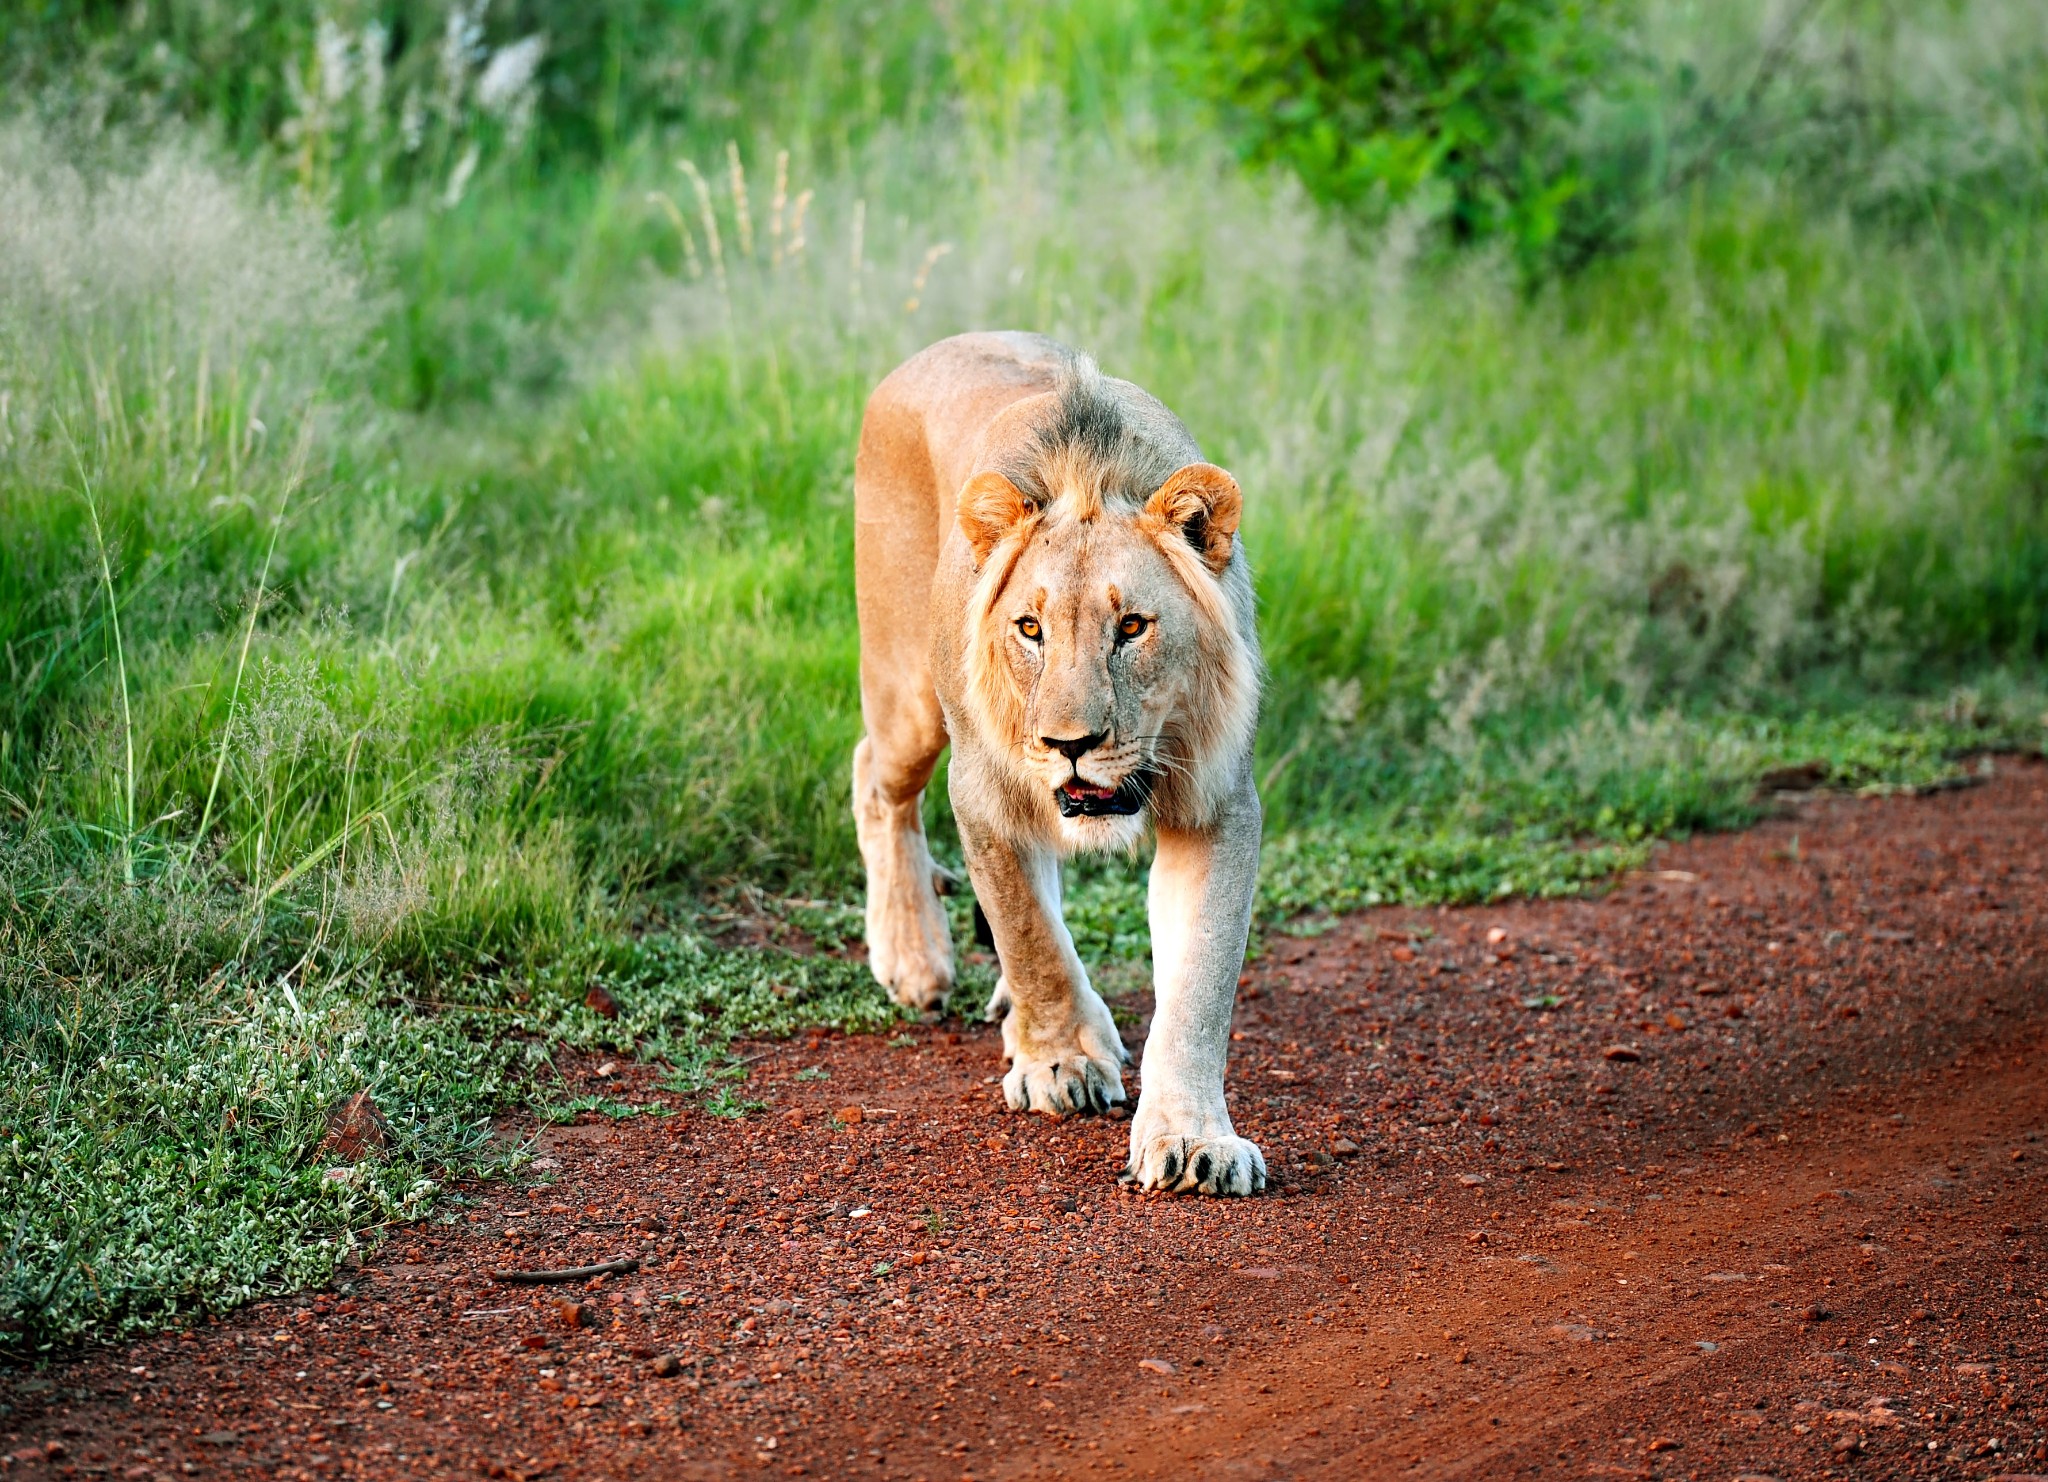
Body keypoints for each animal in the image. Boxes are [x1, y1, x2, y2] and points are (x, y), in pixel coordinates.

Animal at [847, 329, 1261, 1195]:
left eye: (1132, 626)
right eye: (1031, 629)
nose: (1069, 745)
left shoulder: (1218, 803)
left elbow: (1200, 983)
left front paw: (1193, 1137)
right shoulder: (984, 791)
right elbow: (1027, 931)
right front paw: (1062, 1062)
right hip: (908, 698)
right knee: (876, 775)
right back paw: (913, 958)